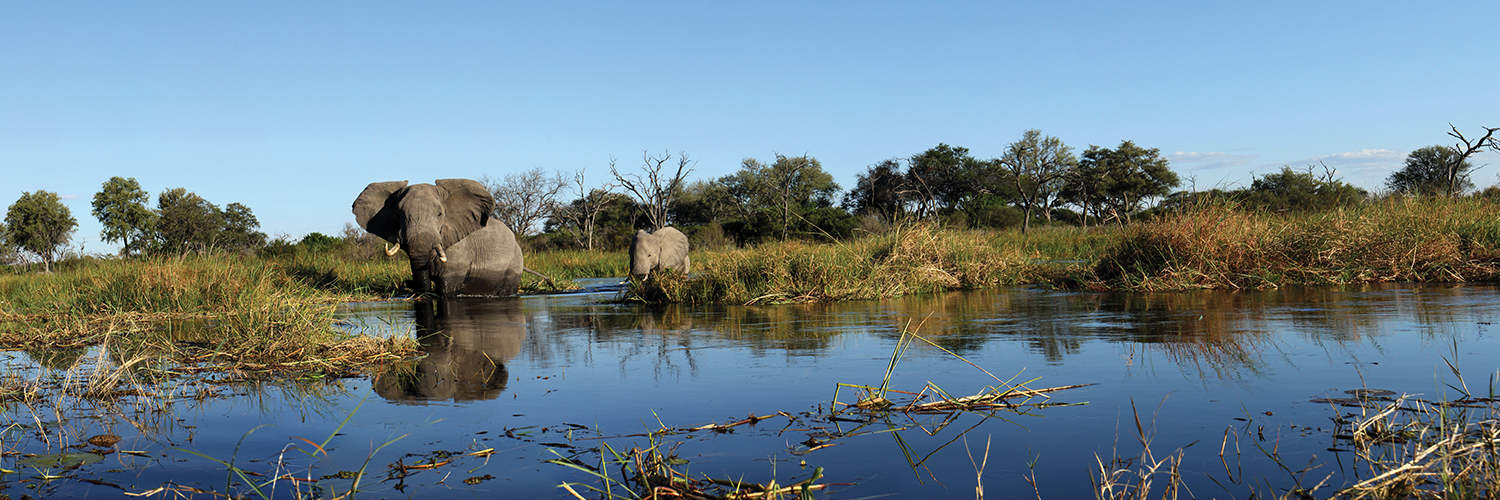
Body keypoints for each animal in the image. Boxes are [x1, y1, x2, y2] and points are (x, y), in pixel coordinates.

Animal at [351, 179, 522, 295]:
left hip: (514, 263)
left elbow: (445, 289)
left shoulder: (460, 250)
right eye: (398, 215)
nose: (404, 283)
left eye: (439, 214)